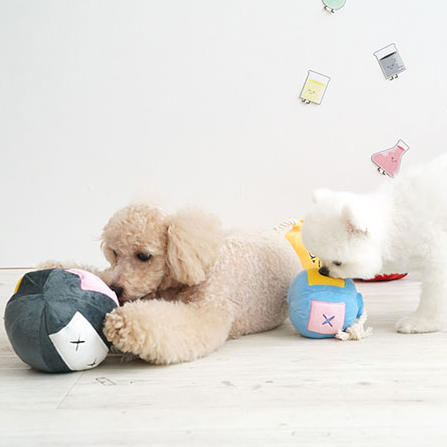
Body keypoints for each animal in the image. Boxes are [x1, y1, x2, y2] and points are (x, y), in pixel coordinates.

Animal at [96, 204, 300, 364]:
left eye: (144, 256)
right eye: (114, 252)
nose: (114, 289)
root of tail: (275, 232)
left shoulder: (206, 311)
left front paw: (121, 323)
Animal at [301, 154, 447, 334]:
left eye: (338, 263)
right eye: (318, 257)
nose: (323, 272)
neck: (395, 221)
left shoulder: (437, 253)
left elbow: (435, 294)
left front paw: (421, 322)